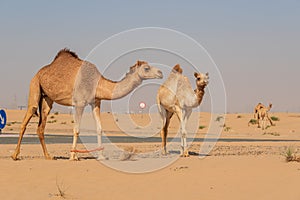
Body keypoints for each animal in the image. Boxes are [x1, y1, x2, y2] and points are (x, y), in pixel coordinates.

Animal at [11, 48, 163, 161]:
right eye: (147, 68)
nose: (160, 72)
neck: (97, 83)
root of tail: (39, 72)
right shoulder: (79, 103)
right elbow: (77, 129)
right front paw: (73, 156)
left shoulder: (96, 102)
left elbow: (99, 128)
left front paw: (101, 156)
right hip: (34, 86)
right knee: (27, 117)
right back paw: (15, 155)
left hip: (48, 98)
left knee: (41, 126)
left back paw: (49, 156)